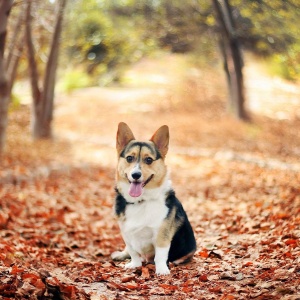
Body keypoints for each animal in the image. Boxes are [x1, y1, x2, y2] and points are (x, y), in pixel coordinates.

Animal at [111, 122, 196, 274]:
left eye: (149, 160)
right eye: (129, 158)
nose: (136, 175)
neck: (141, 201)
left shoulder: (161, 234)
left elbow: (160, 255)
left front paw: (162, 270)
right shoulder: (126, 233)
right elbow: (133, 252)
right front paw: (135, 265)